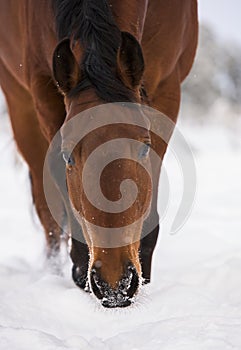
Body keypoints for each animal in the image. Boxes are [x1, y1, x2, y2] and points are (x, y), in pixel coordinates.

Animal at [0, 0, 198, 306]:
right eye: (67, 155)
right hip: (19, 101)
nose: (115, 285)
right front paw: (81, 271)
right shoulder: (42, 91)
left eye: (144, 147)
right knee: (47, 211)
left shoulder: (167, 86)